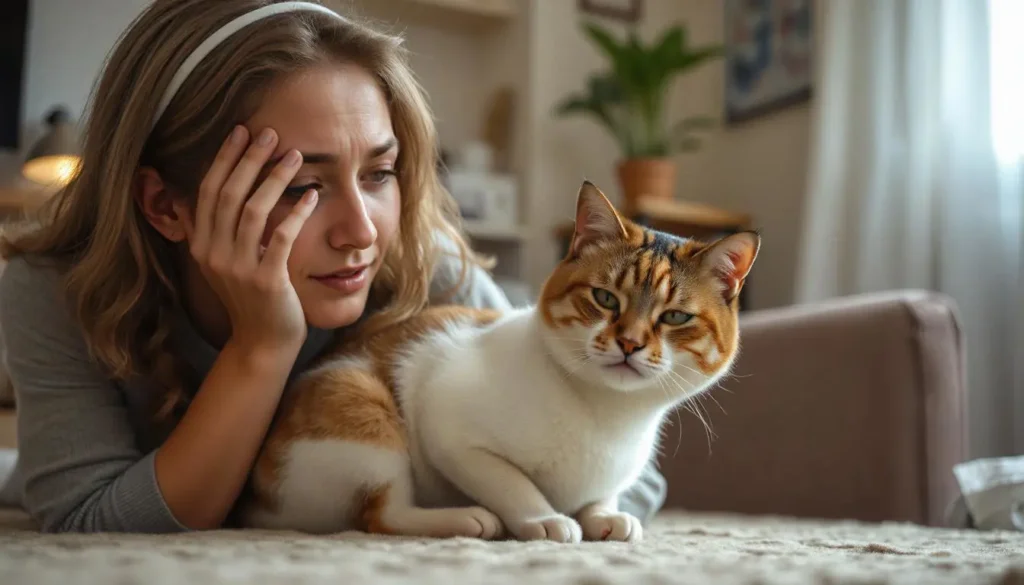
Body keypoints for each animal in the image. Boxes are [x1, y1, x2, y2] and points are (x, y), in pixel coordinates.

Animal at [234, 181, 761, 540]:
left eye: (674, 316)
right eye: (605, 299)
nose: (629, 342)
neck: (607, 415)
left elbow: (599, 496)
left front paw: (605, 516)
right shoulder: (448, 428)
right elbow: (510, 481)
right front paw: (545, 518)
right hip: (359, 405)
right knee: (381, 515)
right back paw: (466, 519)